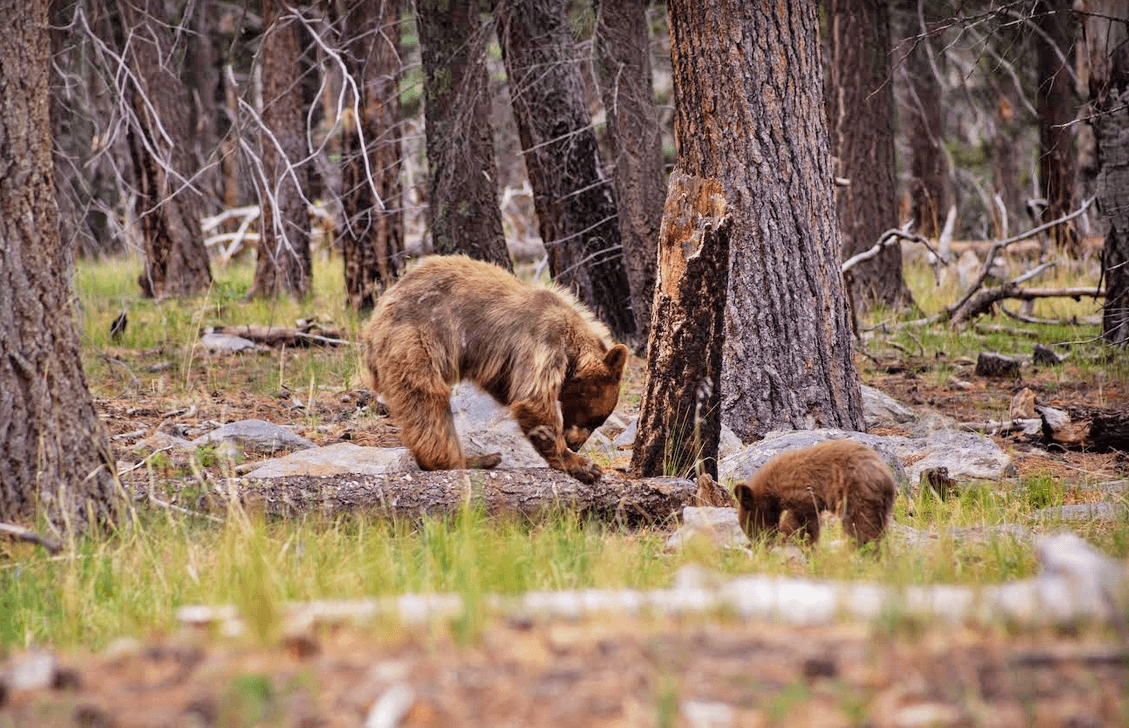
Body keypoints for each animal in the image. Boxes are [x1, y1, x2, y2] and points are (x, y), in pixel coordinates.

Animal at [361, 254, 628, 484]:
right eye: (595, 420)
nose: (575, 444)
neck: (572, 346)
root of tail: (376, 318)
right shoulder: (543, 342)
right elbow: (533, 401)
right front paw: (584, 466)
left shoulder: (505, 368)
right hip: (417, 340)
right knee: (426, 401)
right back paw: (466, 459)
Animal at [734, 440, 895, 548]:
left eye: (748, 526)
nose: (758, 544)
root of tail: (886, 477)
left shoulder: (801, 492)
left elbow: (800, 520)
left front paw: (791, 539)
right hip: (882, 504)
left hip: (855, 493)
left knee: (859, 524)